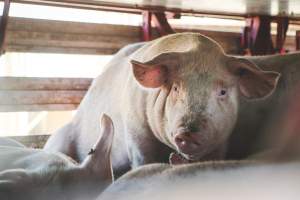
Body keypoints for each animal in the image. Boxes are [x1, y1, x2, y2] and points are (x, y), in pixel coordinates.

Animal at [45, 32, 280, 177]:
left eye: (222, 92)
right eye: (176, 88)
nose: (188, 133)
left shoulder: (221, 142)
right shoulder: (135, 131)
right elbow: (144, 160)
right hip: (60, 137)